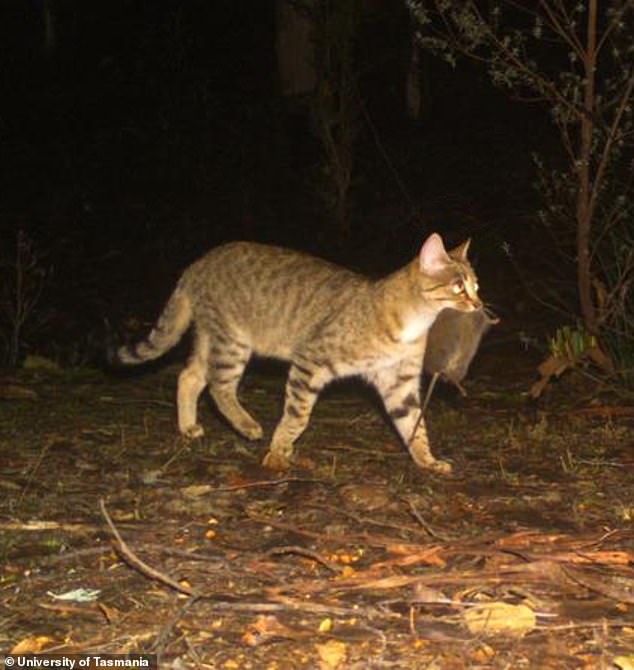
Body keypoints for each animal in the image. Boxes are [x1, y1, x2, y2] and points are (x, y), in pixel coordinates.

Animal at [113, 234, 478, 476]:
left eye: (476, 285)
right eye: (459, 286)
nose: (478, 303)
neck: (413, 323)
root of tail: (196, 264)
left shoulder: (398, 382)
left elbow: (414, 423)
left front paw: (427, 460)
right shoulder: (311, 359)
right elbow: (298, 415)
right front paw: (278, 452)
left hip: (211, 337)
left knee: (188, 376)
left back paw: (188, 426)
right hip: (231, 342)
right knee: (219, 387)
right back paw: (247, 425)